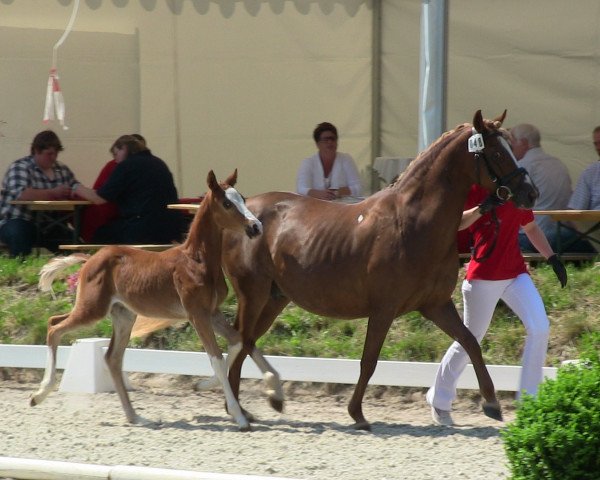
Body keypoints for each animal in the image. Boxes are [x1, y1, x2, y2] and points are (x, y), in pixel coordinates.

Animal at [29, 170, 260, 432]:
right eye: (227, 203)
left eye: (243, 198)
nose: (255, 226)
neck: (197, 260)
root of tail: (90, 258)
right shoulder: (196, 314)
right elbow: (217, 359)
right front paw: (239, 417)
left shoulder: (212, 312)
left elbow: (236, 343)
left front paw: (201, 385)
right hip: (93, 309)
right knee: (54, 327)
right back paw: (39, 394)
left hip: (122, 315)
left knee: (111, 357)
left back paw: (136, 417)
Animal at [221, 109, 540, 432]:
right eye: (497, 152)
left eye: (511, 147)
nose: (531, 193)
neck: (412, 224)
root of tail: (245, 215)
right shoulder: (383, 309)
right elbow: (369, 361)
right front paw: (357, 414)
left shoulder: (435, 305)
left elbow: (470, 342)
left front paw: (492, 403)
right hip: (253, 295)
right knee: (241, 341)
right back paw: (244, 408)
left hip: (273, 299)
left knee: (245, 343)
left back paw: (248, 407)